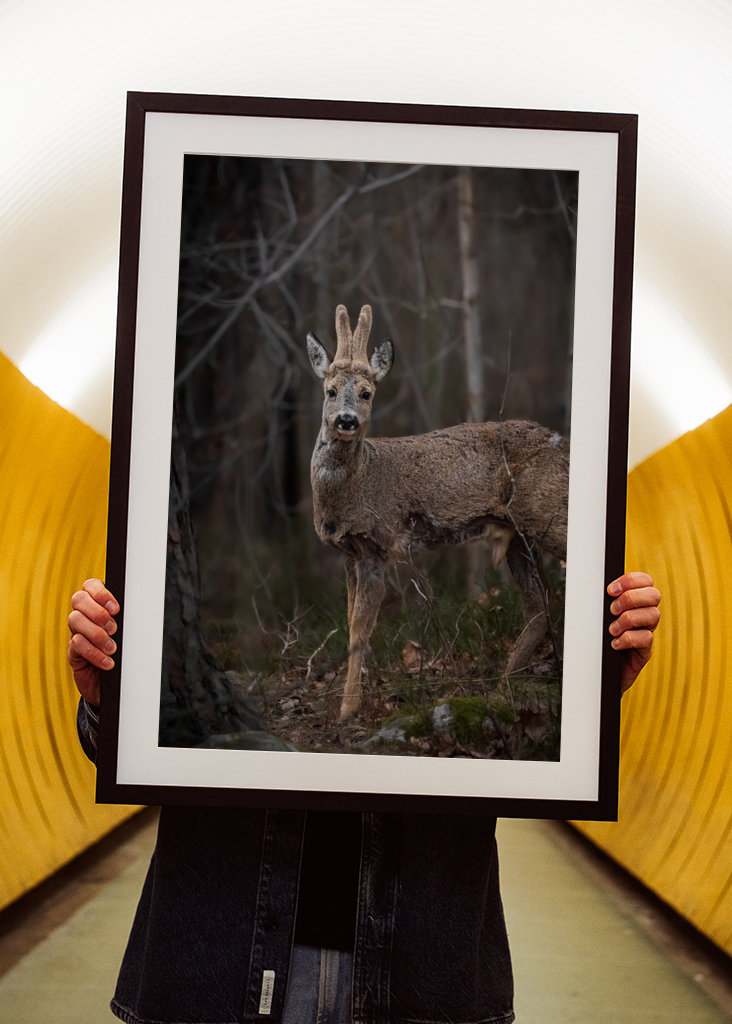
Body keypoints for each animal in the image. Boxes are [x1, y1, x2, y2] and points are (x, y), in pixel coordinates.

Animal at [307, 303, 569, 721]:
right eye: (330, 391)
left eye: (366, 393)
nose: (346, 420)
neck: (360, 481)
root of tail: (564, 445)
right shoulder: (348, 553)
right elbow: (350, 623)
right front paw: (355, 698)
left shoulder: (378, 545)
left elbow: (360, 630)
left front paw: (348, 709)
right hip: (520, 536)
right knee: (539, 607)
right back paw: (501, 689)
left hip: (548, 513)